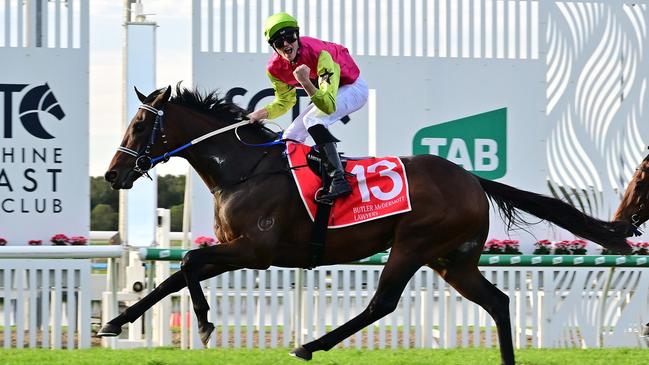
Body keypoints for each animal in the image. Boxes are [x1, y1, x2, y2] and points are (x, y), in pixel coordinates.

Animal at [101, 86, 632, 364]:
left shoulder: (255, 251)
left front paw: (206, 322)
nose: (112, 174)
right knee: (497, 301)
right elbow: (174, 275)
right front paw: (115, 322)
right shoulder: (234, 247)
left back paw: (309, 345)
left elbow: (188, 261)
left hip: (414, 245)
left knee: (383, 303)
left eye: (139, 126)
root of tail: (471, 178)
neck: (243, 169)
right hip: (452, 260)